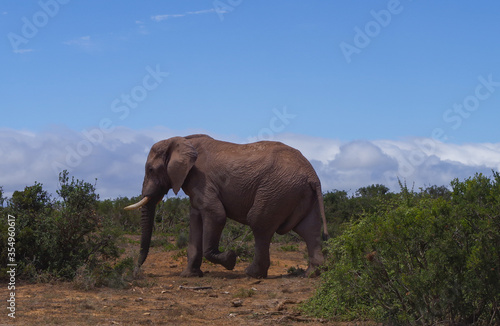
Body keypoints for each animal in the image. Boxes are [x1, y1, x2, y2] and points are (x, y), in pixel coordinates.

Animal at [125, 134, 328, 278]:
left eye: (151, 169)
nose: (135, 271)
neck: (181, 139)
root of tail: (313, 175)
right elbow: (195, 220)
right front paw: (189, 275)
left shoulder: (202, 179)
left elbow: (216, 214)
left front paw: (230, 260)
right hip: (298, 192)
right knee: (309, 229)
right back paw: (311, 274)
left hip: (276, 189)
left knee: (259, 223)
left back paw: (252, 274)